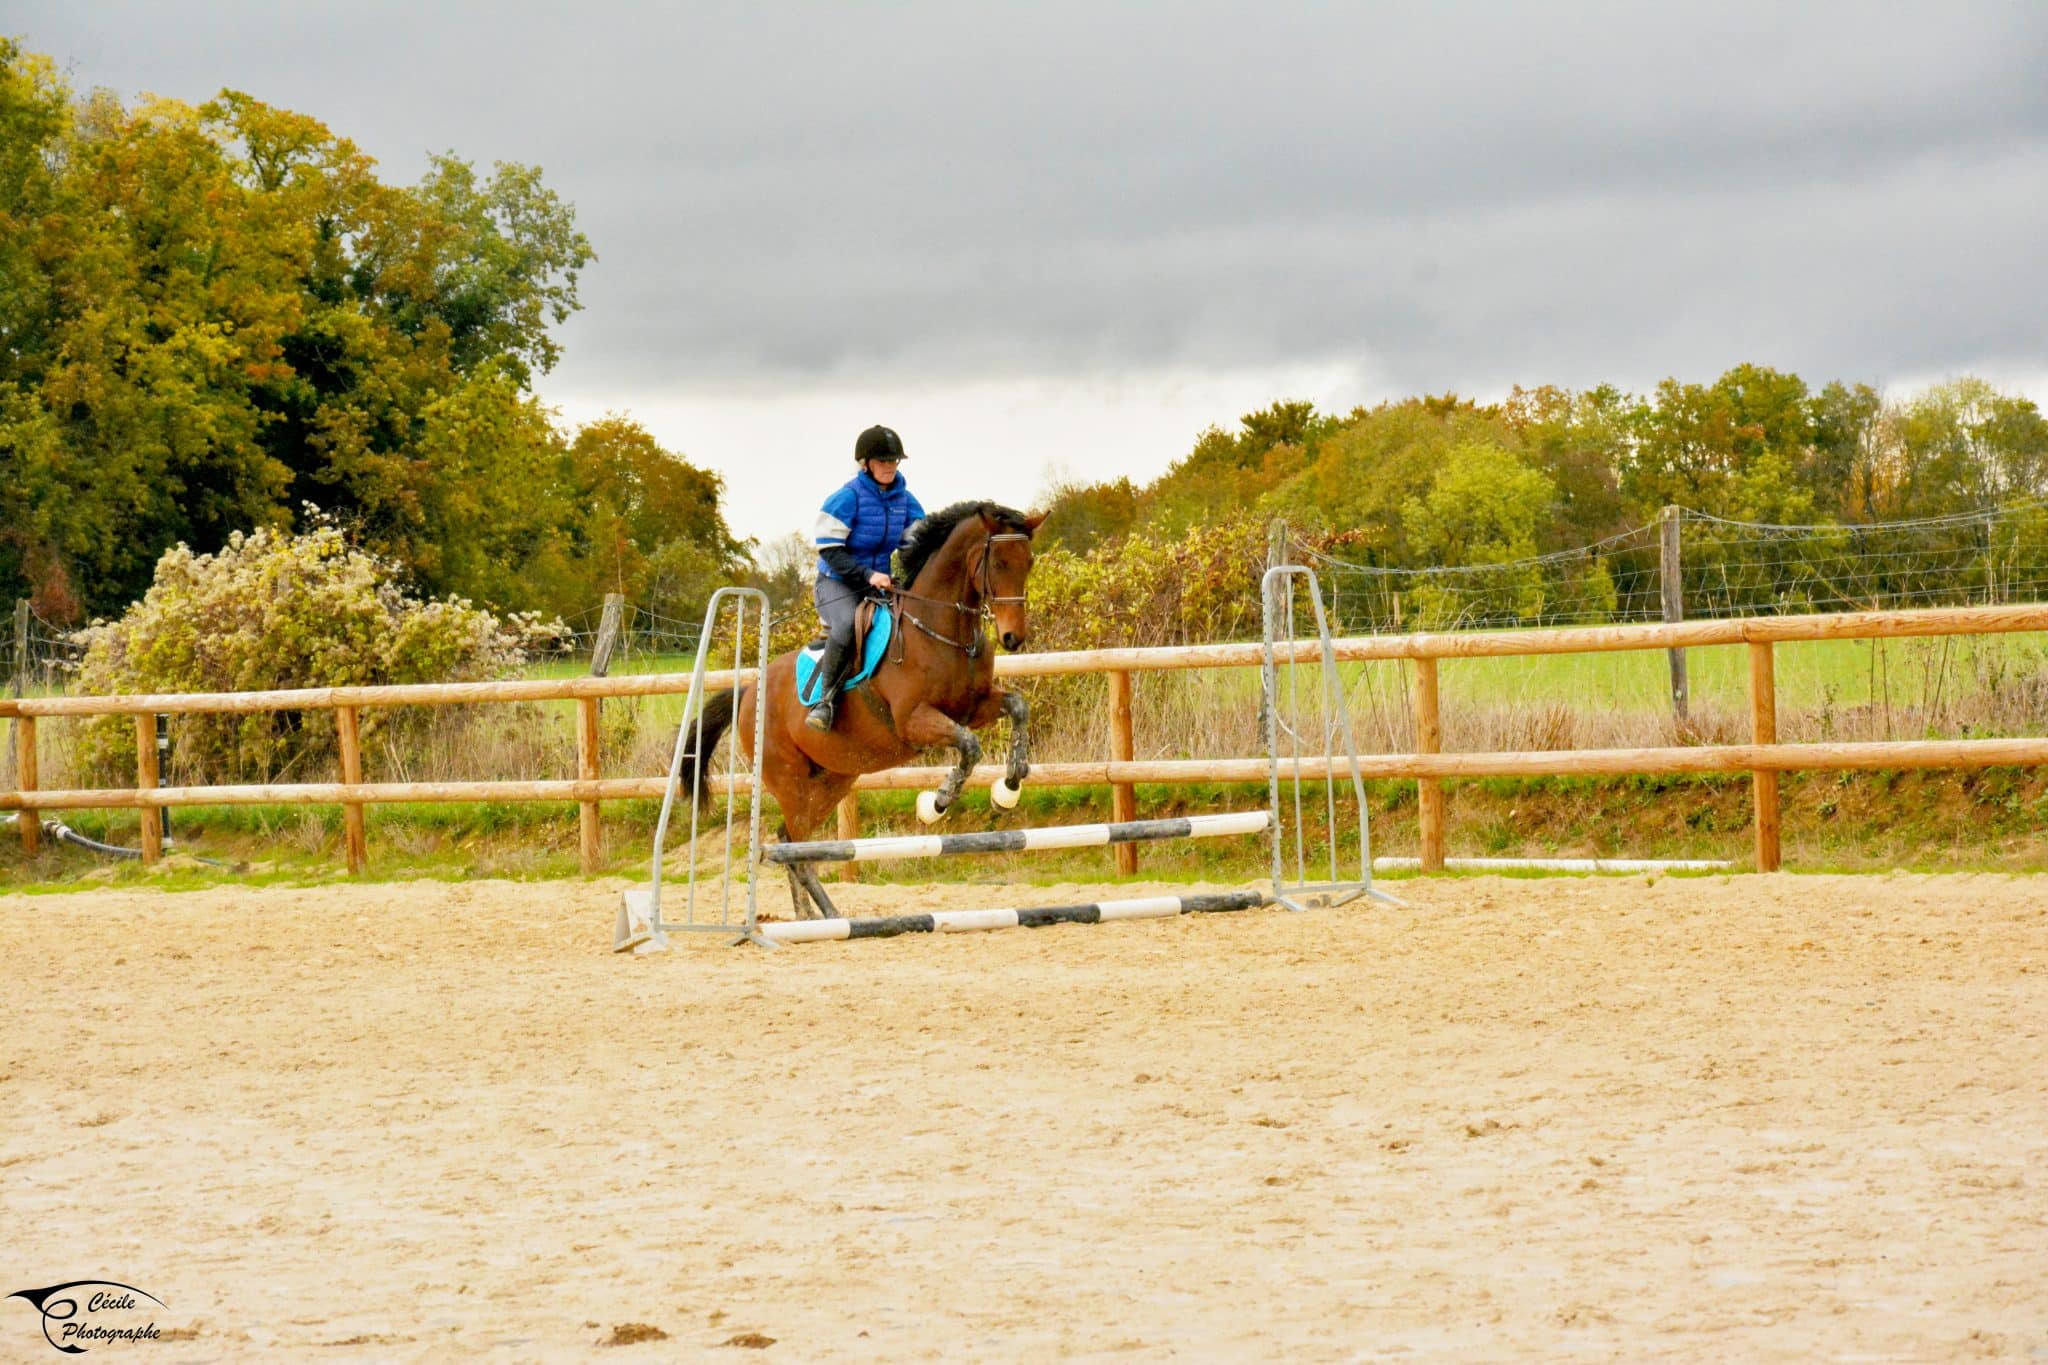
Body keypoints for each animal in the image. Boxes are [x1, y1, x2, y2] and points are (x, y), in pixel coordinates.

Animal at [680, 501, 1046, 918]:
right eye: (998, 562)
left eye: (1029, 561)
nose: (1013, 638)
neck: (944, 633)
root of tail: (748, 690)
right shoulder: (914, 720)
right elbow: (969, 746)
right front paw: (937, 802)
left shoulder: (975, 706)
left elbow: (1018, 707)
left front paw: (1010, 786)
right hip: (788, 779)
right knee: (795, 846)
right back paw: (821, 918)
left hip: (833, 779)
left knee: (790, 840)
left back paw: (815, 916)